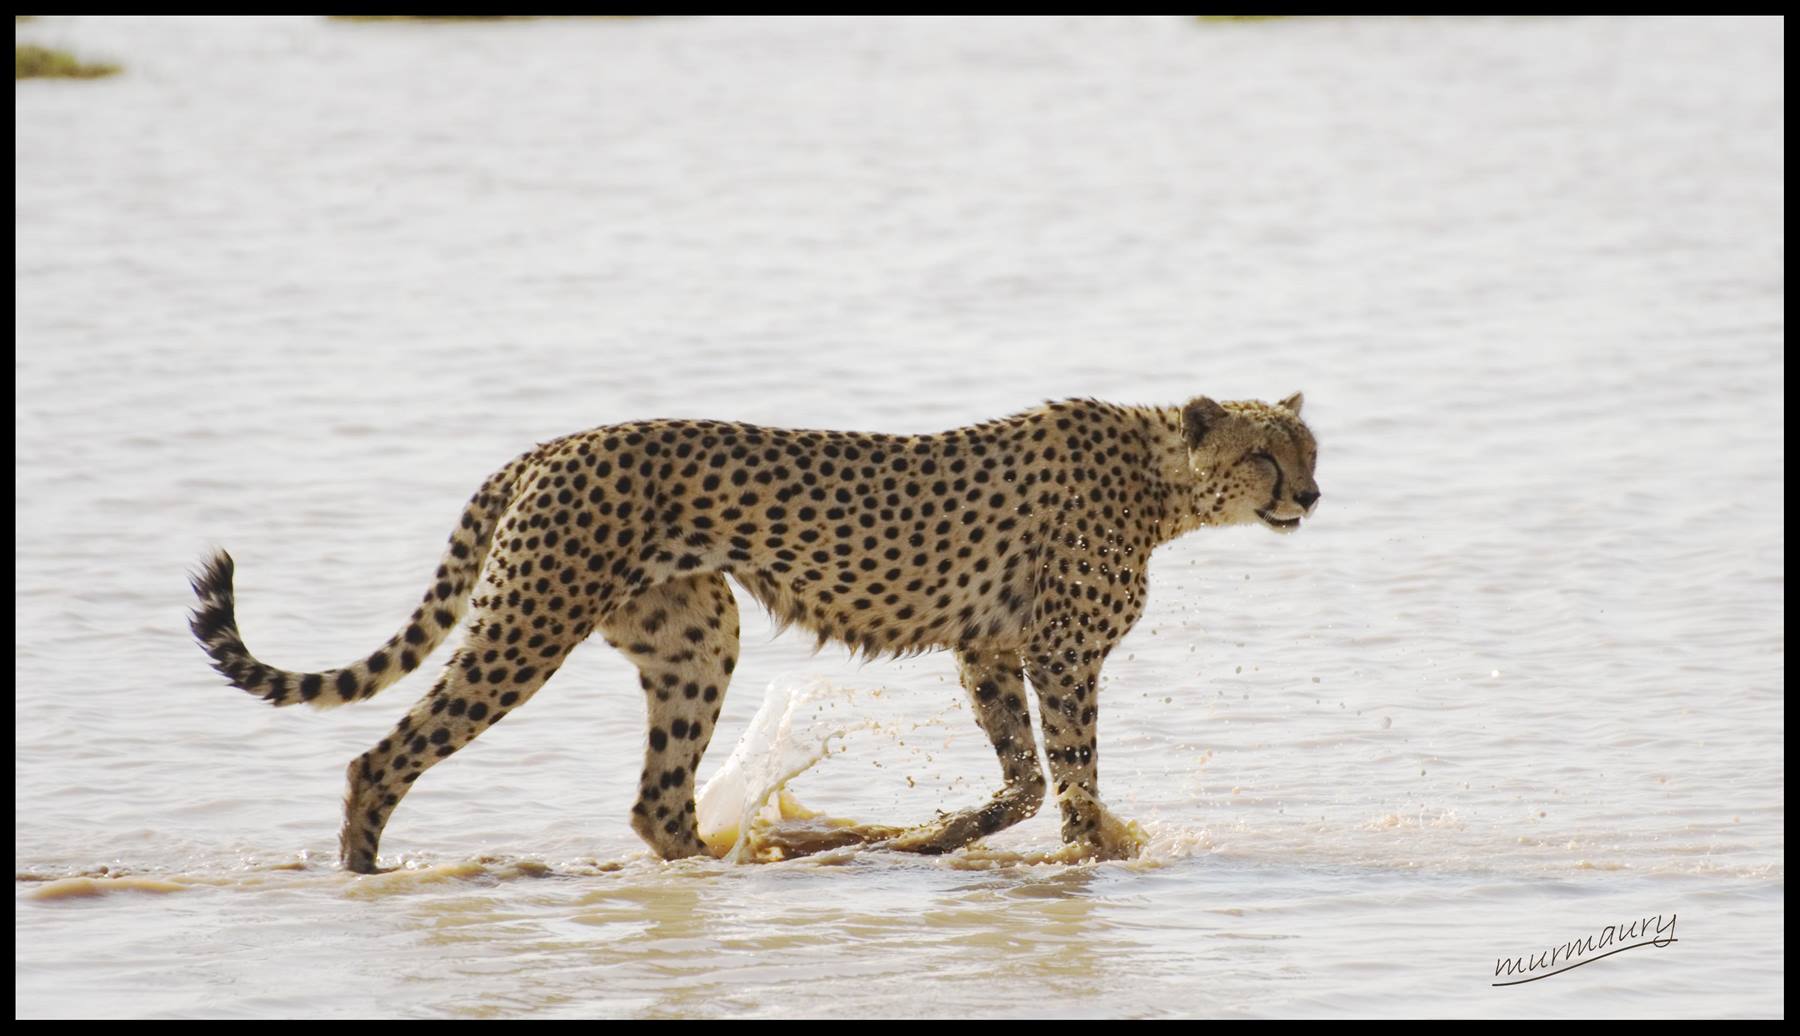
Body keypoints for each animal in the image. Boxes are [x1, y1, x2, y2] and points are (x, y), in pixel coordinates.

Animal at [190, 394, 1320, 872]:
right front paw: (1095, 849)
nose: (1309, 496)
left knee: (656, 801)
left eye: (1308, 447)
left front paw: (933, 835)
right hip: (530, 624)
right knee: (381, 757)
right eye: (1268, 454)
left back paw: (752, 858)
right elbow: (1069, 773)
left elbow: (1025, 780)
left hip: (695, 637)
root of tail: (552, 445)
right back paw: (364, 873)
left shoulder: (990, 647)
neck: (1160, 479)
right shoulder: (1056, 651)